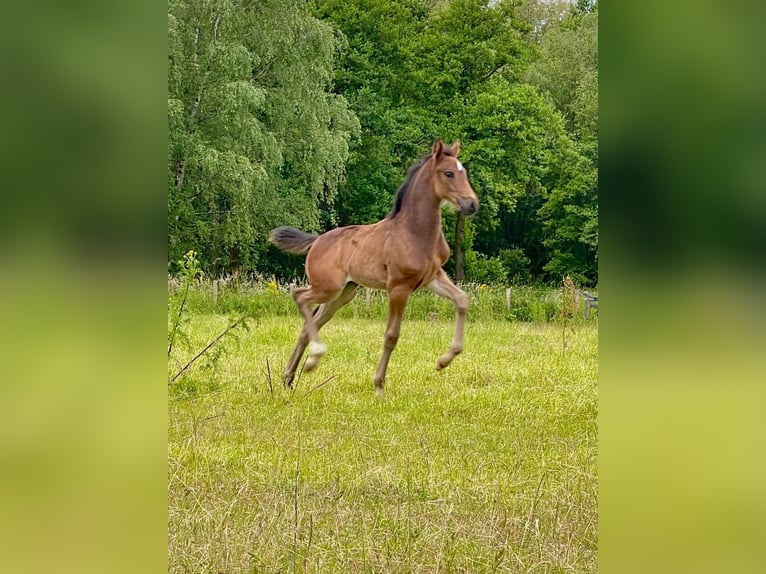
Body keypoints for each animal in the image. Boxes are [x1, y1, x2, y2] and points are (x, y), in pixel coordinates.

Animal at [270, 138, 480, 396]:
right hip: (326, 287)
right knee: (299, 296)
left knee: (309, 323)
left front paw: (443, 361)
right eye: (448, 173)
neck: (415, 233)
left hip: (343, 294)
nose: (472, 204)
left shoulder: (433, 277)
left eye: (464, 172)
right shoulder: (399, 287)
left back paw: (289, 378)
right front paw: (379, 386)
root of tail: (317, 240)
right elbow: (391, 335)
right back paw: (313, 358)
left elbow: (462, 300)